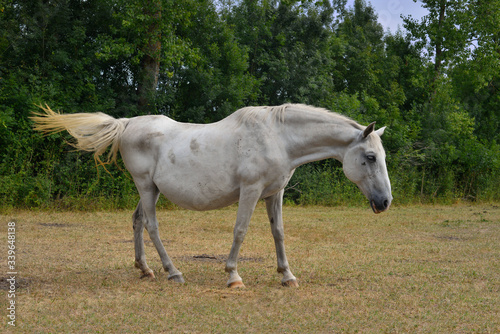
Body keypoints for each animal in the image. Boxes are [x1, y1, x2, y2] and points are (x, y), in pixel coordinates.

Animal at [31, 103, 392, 288]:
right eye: (370, 157)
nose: (385, 202)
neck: (277, 136)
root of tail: (128, 123)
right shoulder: (251, 190)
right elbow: (240, 231)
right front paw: (233, 276)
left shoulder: (274, 193)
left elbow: (278, 233)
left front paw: (287, 275)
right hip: (145, 186)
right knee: (151, 226)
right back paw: (173, 272)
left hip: (151, 189)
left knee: (136, 221)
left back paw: (145, 269)